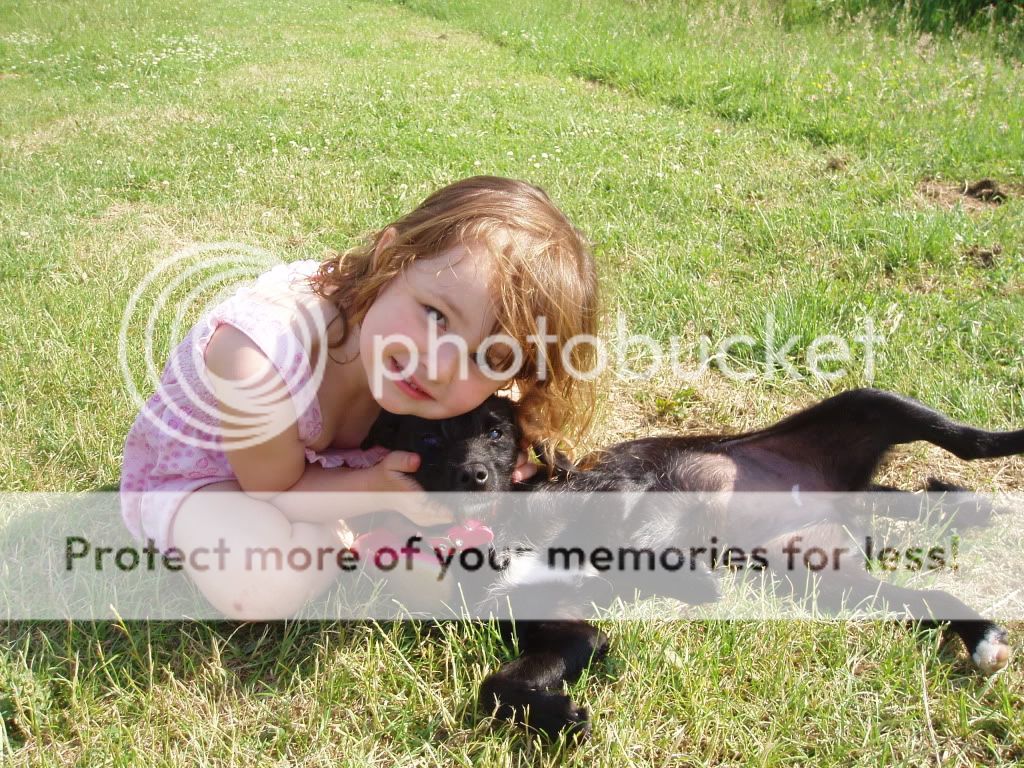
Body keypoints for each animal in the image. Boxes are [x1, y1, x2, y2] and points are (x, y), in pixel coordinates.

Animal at [360, 391, 1015, 741]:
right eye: (426, 439)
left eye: (496, 432)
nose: (474, 474)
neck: (499, 531)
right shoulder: (570, 632)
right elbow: (495, 686)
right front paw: (557, 714)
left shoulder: (618, 488)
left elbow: (634, 542)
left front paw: (683, 577)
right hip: (832, 581)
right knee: (934, 598)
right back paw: (983, 637)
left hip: (868, 405)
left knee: (968, 441)